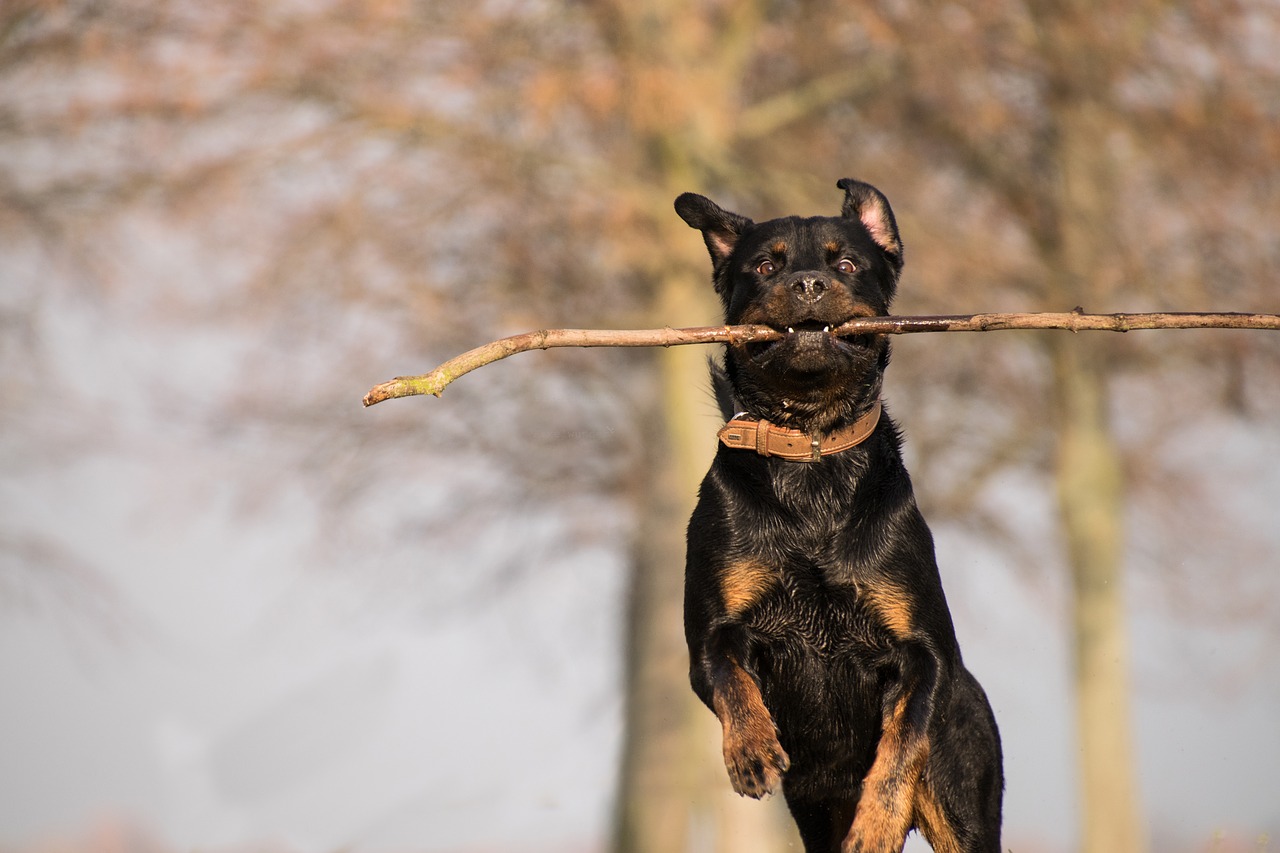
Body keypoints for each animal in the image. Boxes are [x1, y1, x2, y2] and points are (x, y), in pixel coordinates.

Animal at [675, 179, 1003, 850]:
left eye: (847, 264)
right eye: (765, 266)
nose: (807, 283)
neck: (812, 448)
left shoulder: (924, 654)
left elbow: (901, 746)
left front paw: (876, 825)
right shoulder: (710, 632)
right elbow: (726, 673)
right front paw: (751, 750)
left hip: (967, 802)